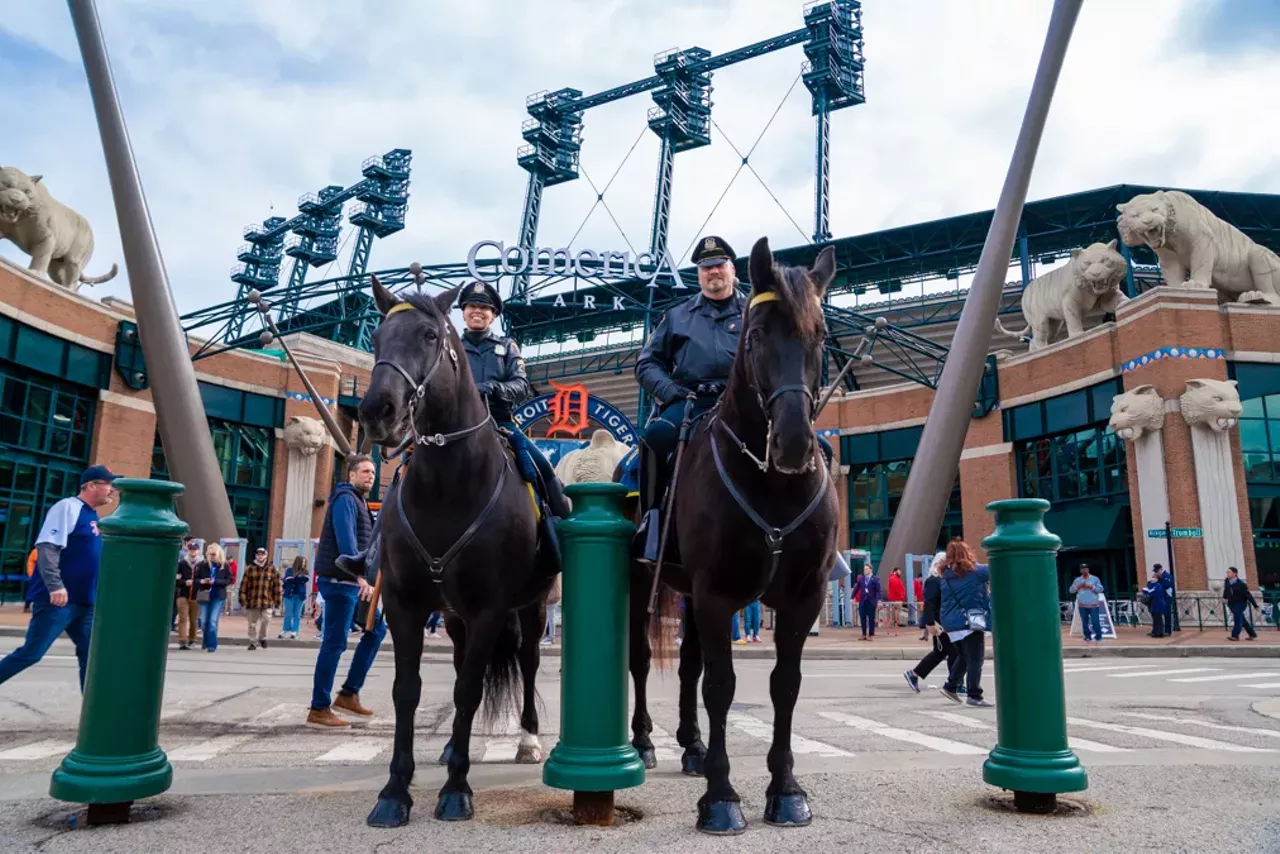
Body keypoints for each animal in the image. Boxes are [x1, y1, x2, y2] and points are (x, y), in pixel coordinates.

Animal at [358, 280, 552, 829]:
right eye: (376, 337)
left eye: (429, 335)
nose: (378, 410)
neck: (447, 486)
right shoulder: (404, 603)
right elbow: (407, 690)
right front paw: (394, 792)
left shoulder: (489, 608)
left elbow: (468, 691)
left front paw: (455, 791)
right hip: (453, 616)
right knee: (467, 658)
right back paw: (449, 747)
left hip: (532, 607)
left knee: (528, 662)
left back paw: (527, 740)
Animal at [622, 239, 839, 834]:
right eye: (757, 334)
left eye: (821, 335)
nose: (793, 442)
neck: (771, 483)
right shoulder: (718, 595)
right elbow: (721, 687)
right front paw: (721, 798)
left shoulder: (802, 597)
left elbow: (784, 685)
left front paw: (785, 789)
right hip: (642, 586)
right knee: (642, 660)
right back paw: (645, 742)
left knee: (688, 664)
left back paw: (692, 746)